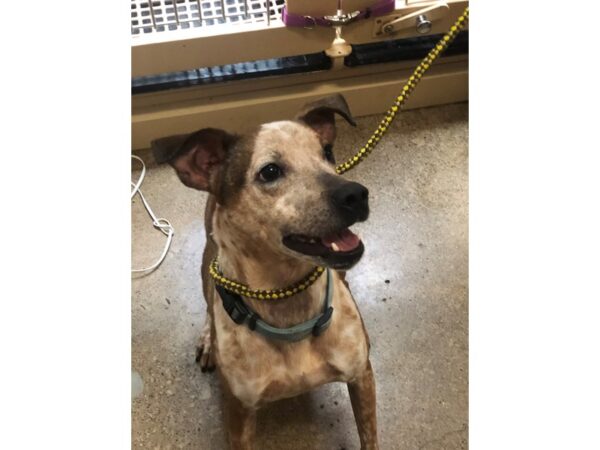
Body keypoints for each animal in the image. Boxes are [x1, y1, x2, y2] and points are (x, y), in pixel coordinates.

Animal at [152, 95, 378, 450]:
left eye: (327, 152)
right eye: (270, 171)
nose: (355, 194)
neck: (288, 304)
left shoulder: (361, 376)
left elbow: (369, 436)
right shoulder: (238, 413)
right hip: (206, 262)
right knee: (208, 301)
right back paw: (208, 340)